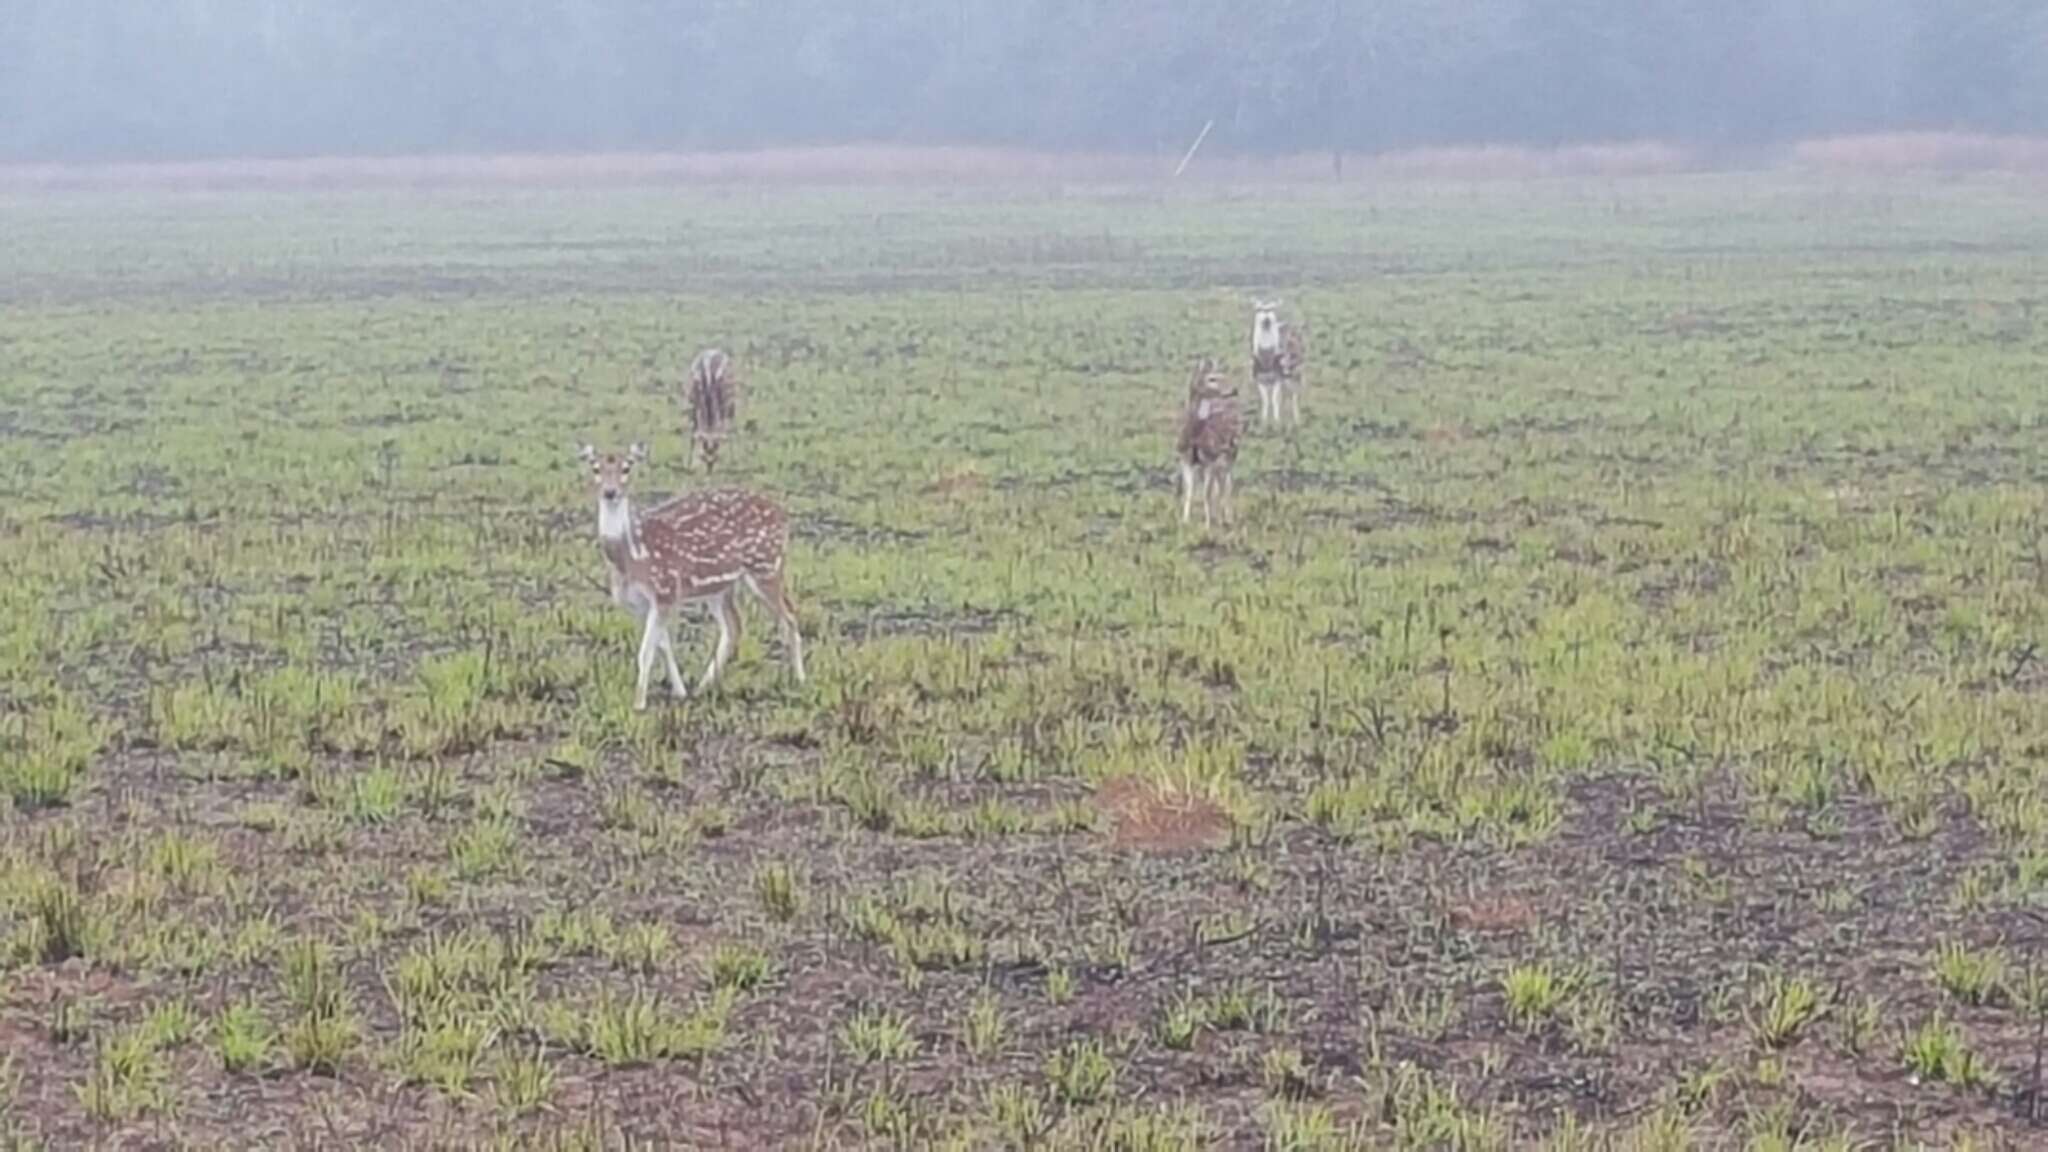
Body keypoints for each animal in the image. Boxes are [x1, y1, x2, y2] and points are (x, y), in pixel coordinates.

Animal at [581, 440, 802, 705]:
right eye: (595, 468)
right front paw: (680, 691)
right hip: (721, 586)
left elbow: (646, 652)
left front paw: (639, 703)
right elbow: (663, 646)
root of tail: (784, 514)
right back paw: (702, 687)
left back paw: (800, 680)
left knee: (789, 615)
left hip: (766, 566)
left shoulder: (665, 590)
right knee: (734, 625)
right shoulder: (638, 603)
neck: (633, 557)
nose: (610, 491)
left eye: (627, 467)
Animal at [1179, 356, 1236, 528]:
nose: (1234, 390)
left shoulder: (1210, 461)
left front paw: (1208, 525)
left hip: (1228, 459)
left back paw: (1228, 518)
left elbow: (1206, 494)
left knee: (1227, 487)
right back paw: (1221, 518)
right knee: (1220, 487)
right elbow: (1189, 492)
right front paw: (1185, 521)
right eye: (1212, 378)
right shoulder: (1185, 460)